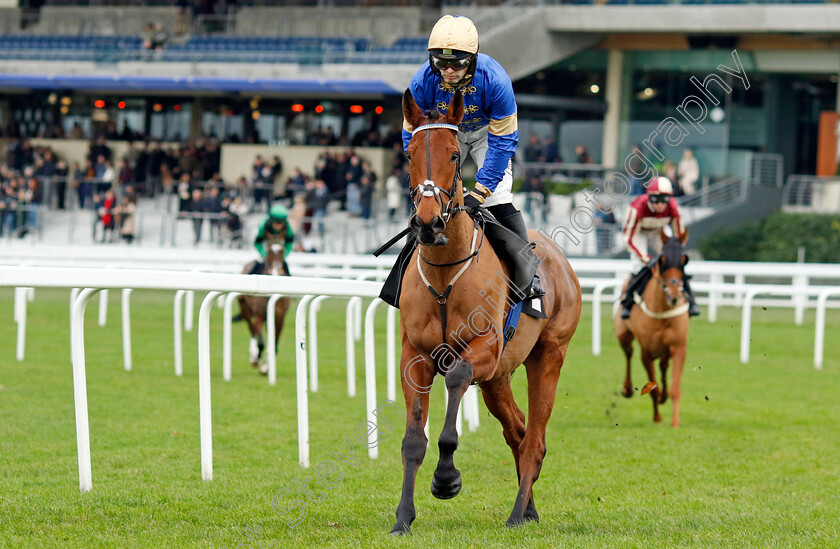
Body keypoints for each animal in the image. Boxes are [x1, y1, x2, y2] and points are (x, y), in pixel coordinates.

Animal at [238, 239, 290, 372]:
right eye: (269, 251)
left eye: (282, 251)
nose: (276, 271)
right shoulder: (259, 314)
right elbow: (261, 342)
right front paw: (256, 360)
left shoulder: (280, 317)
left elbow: (274, 344)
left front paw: (266, 367)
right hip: (245, 308)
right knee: (251, 328)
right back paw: (253, 356)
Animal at [390, 88, 580, 532]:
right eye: (409, 154)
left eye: (454, 153)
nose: (428, 223)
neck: (445, 273)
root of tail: (560, 258)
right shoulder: (416, 355)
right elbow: (413, 440)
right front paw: (403, 517)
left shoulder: (485, 348)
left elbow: (456, 380)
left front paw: (446, 478)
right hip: (498, 378)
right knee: (519, 432)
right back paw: (528, 509)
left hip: (548, 354)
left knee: (535, 439)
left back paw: (515, 514)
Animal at [612, 229, 692, 426]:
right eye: (662, 261)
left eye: (684, 260)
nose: (674, 296)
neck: (662, 310)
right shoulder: (646, 351)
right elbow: (652, 387)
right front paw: (657, 418)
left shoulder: (678, 347)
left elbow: (675, 388)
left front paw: (675, 422)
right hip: (624, 335)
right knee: (628, 353)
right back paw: (627, 389)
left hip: (664, 349)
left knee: (663, 366)